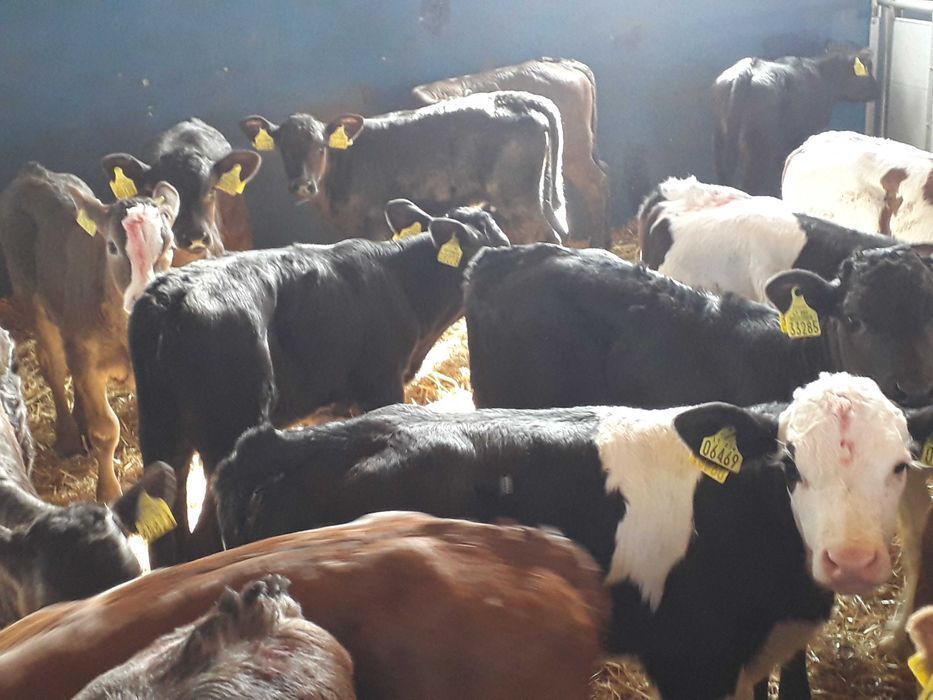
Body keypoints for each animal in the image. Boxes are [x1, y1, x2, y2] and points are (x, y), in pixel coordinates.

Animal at [0, 162, 178, 501]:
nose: (144, 295)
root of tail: (34, 171)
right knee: (54, 368)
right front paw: (108, 491)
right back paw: (69, 436)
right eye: (112, 247)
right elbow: (106, 429)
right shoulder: (89, 363)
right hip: (34, 301)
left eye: (169, 248)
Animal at [130, 199, 510, 566]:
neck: (403, 287)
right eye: (499, 243)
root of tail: (170, 297)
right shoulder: (381, 384)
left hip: (160, 434)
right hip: (228, 426)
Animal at [240, 90, 568, 245]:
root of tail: (514, 97)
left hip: (520, 199)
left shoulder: (374, 227)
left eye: (321, 147)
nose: (302, 185)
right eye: (283, 149)